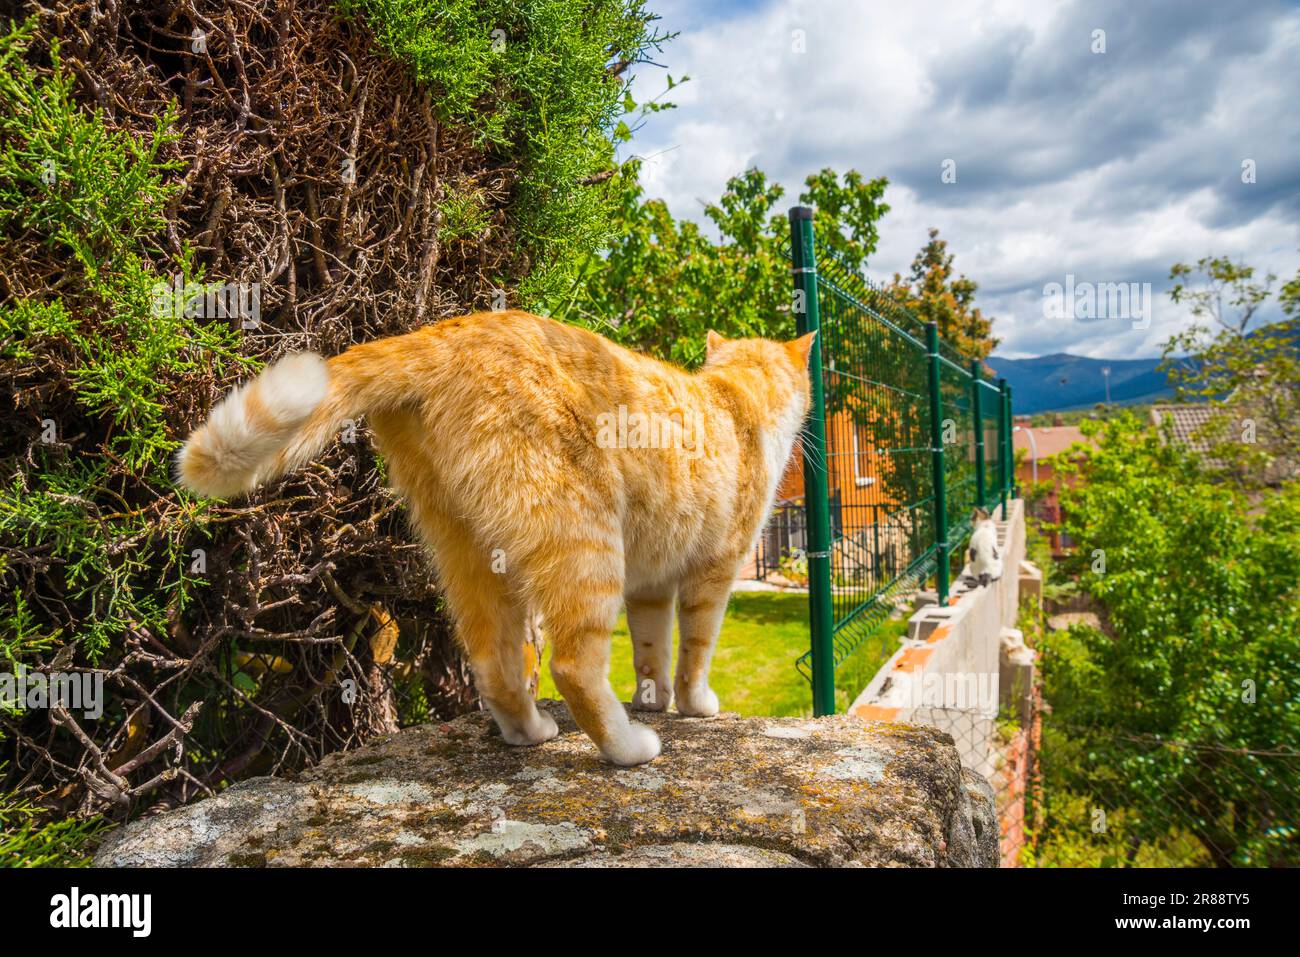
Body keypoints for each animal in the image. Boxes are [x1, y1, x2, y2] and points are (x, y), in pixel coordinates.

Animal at [178, 312, 806, 764]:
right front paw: (695, 707)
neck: (736, 395)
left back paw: (529, 731)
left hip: (472, 551)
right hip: (584, 539)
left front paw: (651, 701)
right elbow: (696, 650)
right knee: (573, 666)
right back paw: (628, 748)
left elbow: (651, 652)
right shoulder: (713, 572)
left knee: (490, 662)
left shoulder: (650, 588)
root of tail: (446, 332)